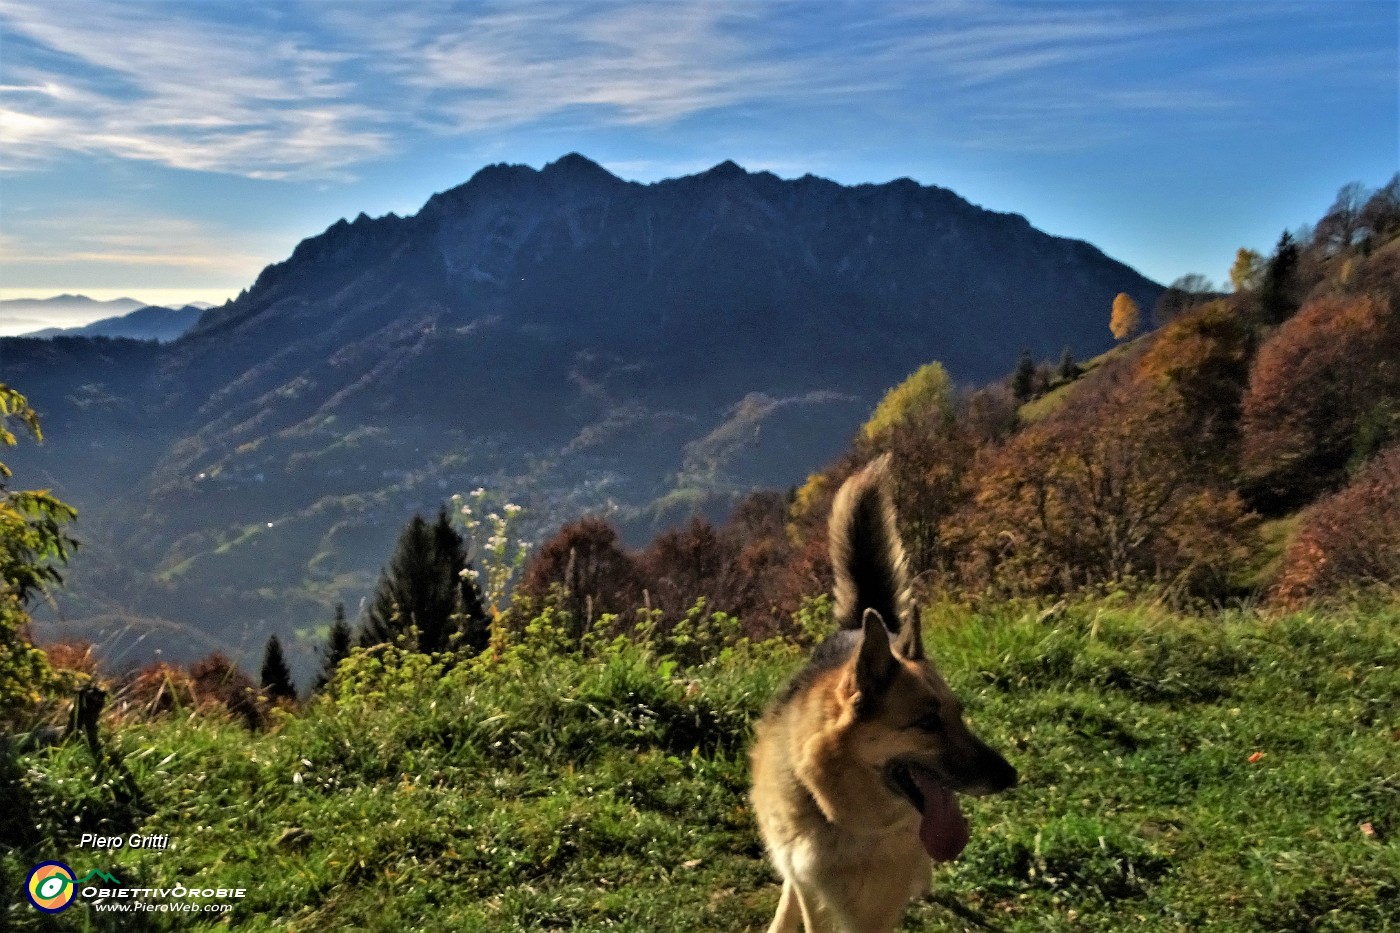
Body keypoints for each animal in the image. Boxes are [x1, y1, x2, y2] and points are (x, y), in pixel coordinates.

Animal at [756, 456, 1019, 930]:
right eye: (928, 722)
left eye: (959, 715)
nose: (1011, 777)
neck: (837, 814)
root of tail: (863, 623)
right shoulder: (814, 894)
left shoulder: (873, 912)